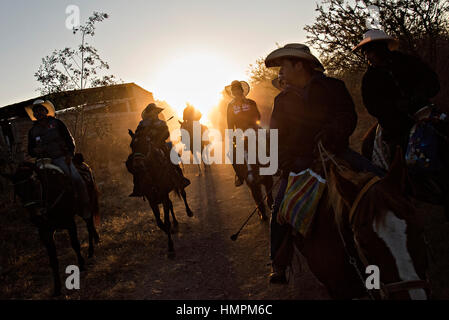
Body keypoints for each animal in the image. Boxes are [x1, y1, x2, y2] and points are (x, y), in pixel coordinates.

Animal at [0, 160, 100, 298]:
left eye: (34, 186)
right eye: (18, 192)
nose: (35, 217)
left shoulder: (69, 223)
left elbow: (75, 244)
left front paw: (81, 265)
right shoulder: (45, 233)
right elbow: (53, 260)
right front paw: (57, 289)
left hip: (85, 206)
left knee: (89, 225)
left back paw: (91, 249)